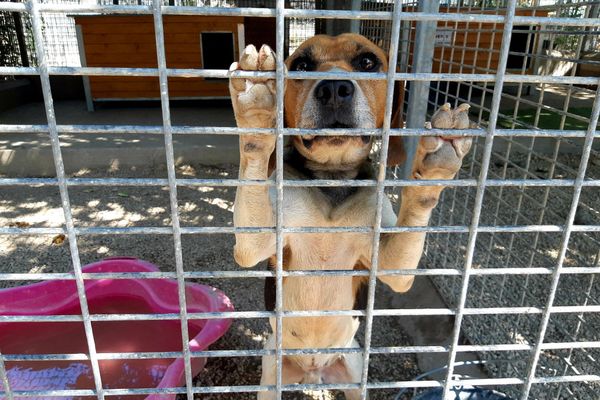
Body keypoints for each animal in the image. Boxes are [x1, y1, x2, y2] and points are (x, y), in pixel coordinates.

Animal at [227, 34, 472, 400]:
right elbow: (255, 154)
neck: (333, 178)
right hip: (271, 369)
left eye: (368, 62)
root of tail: (313, 371)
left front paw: (437, 162)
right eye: (302, 65)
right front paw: (257, 110)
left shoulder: (392, 263)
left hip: (354, 368)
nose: (333, 88)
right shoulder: (257, 243)